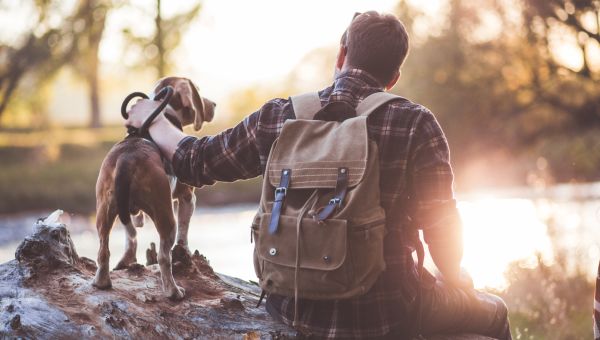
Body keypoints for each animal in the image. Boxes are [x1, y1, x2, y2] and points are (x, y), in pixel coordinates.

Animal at [92, 77, 214, 300]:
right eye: (199, 90)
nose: (214, 105)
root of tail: (127, 158)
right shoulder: (187, 198)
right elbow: (184, 233)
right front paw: (185, 250)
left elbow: (130, 234)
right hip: (166, 217)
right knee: (164, 257)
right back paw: (173, 291)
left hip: (105, 212)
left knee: (104, 250)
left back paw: (102, 281)